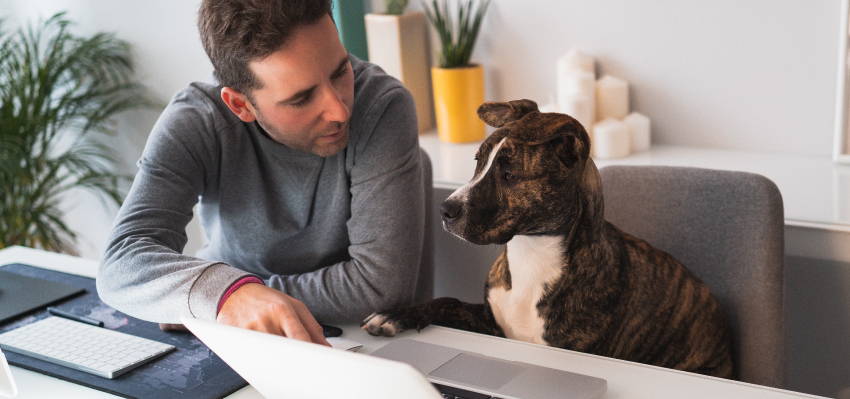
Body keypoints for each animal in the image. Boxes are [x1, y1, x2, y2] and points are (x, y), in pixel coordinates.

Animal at [362, 98, 732, 380]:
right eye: (478, 162)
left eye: (509, 175)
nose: (445, 209)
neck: (531, 253)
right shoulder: (492, 322)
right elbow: (447, 301)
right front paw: (396, 315)